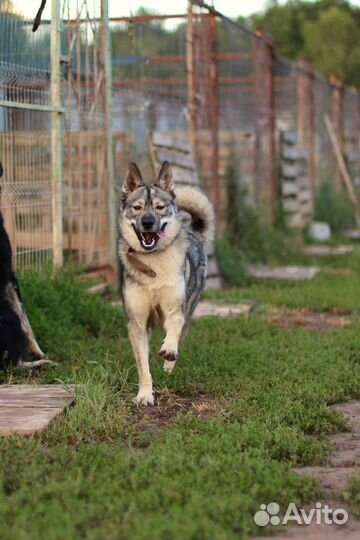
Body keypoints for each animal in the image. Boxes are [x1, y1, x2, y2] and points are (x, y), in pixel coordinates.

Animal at [119, 160, 214, 404]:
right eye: (137, 208)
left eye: (160, 207)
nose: (148, 222)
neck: (153, 264)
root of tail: (194, 234)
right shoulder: (137, 323)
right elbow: (143, 366)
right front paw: (144, 395)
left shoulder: (175, 310)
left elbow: (173, 331)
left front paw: (169, 351)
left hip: (189, 311)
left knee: (179, 335)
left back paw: (169, 366)